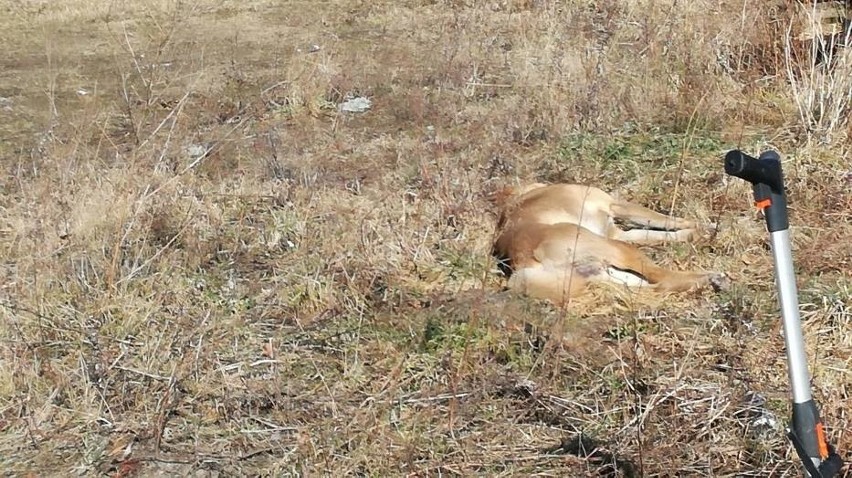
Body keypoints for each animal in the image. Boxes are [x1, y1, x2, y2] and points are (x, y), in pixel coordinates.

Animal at [492, 181, 724, 304]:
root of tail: (524, 261)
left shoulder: (618, 233)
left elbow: (659, 232)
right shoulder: (618, 206)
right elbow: (671, 220)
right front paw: (708, 227)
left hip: (609, 271)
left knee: (653, 287)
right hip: (620, 250)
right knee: (664, 279)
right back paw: (712, 278)